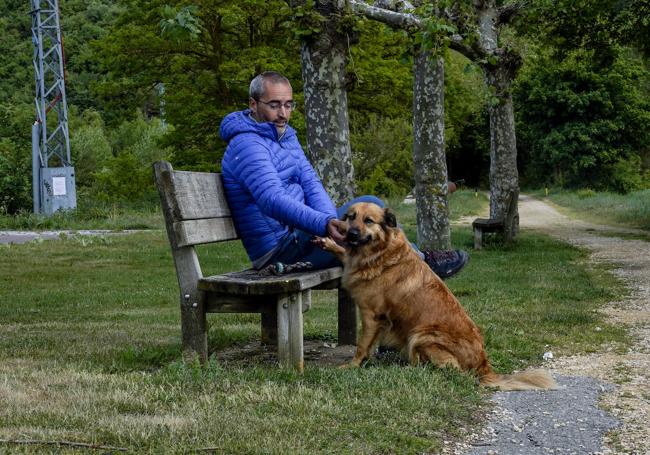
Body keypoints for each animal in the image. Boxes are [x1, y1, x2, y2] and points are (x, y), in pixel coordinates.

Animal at [316, 203, 556, 392]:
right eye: (350, 217)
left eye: (368, 220)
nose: (351, 234)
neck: (380, 253)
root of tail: (483, 365)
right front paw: (329, 242)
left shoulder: (371, 315)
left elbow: (362, 345)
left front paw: (353, 365)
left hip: (421, 336)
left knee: (450, 370)